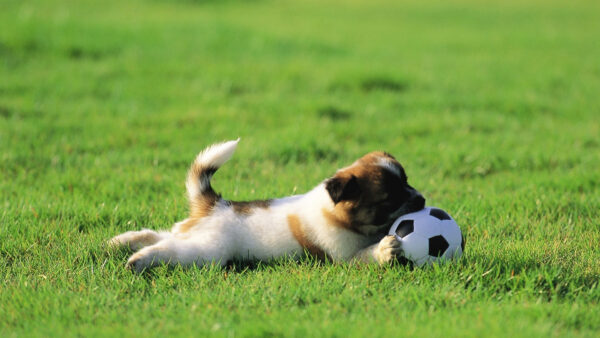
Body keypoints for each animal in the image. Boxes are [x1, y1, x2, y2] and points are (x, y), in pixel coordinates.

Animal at [109, 139, 426, 274]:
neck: (337, 213)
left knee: (160, 235)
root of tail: (215, 205)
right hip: (208, 250)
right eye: (389, 199)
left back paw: (120, 242)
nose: (422, 200)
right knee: (169, 248)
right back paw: (139, 260)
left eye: (407, 181)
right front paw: (386, 249)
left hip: (192, 233)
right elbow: (368, 254)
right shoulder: (344, 257)